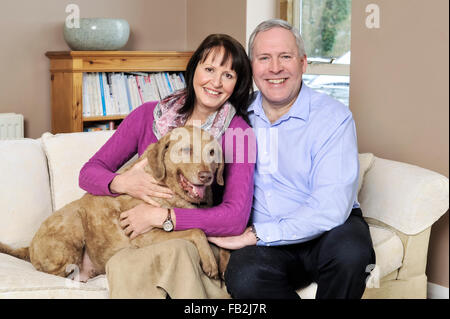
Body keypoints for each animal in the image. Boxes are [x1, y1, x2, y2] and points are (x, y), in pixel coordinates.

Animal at [0, 126, 230, 284]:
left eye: (212, 153)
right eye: (186, 149)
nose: (207, 176)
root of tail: (29, 246)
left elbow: (221, 241)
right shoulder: (146, 235)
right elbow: (196, 230)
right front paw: (210, 263)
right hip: (72, 227)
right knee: (57, 273)